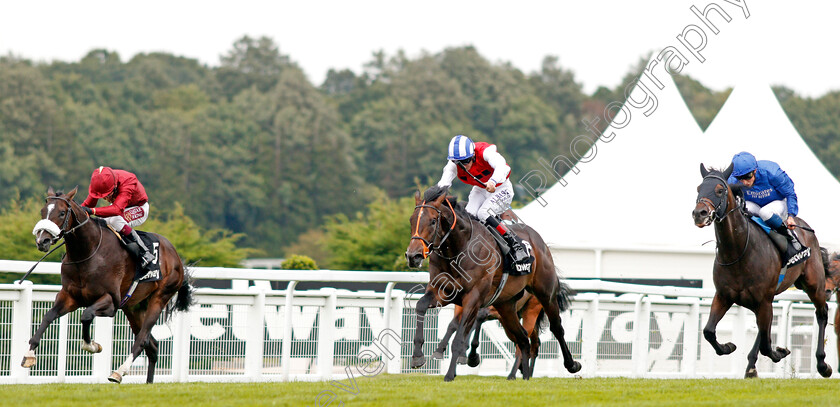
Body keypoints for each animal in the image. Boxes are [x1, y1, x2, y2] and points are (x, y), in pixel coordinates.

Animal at [25, 186, 194, 384]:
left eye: (61, 213)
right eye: (42, 211)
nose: (42, 241)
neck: (87, 253)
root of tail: (175, 256)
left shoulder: (111, 301)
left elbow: (86, 315)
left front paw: (92, 345)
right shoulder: (69, 296)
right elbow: (48, 316)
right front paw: (29, 355)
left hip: (160, 298)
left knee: (142, 340)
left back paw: (119, 372)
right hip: (134, 307)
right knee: (152, 345)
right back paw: (148, 383)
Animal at [406, 187, 576, 382]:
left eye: (433, 221)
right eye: (411, 220)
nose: (413, 256)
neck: (459, 249)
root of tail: (540, 241)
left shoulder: (473, 298)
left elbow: (459, 338)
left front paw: (450, 374)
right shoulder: (442, 291)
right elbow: (421, 306)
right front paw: (418, 356)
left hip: (543, 295)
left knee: (556, 328)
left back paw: (571, 364)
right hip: (506, 306)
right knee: (523, 339)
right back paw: (524, 376)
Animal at [688, 163, 832, 380]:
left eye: (720, 190)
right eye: (698, 189)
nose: (700, 213)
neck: (738, 251)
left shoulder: (764, 300)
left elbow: (766, 344)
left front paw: (780, 352)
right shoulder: (724, 296)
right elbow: (708, 331)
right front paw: (728, 347)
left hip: (813, 284)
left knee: (822, 313)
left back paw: (823, 365)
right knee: (761, 331)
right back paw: (750, 366)